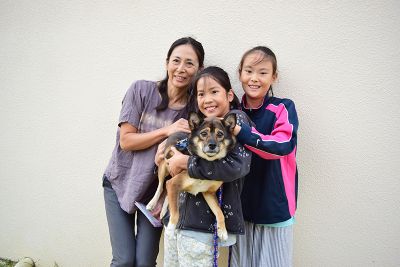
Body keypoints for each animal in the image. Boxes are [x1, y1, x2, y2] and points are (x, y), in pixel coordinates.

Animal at [147, 112, 236, 242]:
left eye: (220, 134)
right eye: (204, 134)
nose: (212, 145)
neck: (206, 163)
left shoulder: (209, 193)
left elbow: (219, 212)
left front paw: (222, 231)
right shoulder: (173, 183)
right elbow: (176, 213)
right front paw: (171, 229)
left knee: (168, 194)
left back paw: (163, 211)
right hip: (164, 167)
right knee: (161, 186)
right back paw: (151, 204)